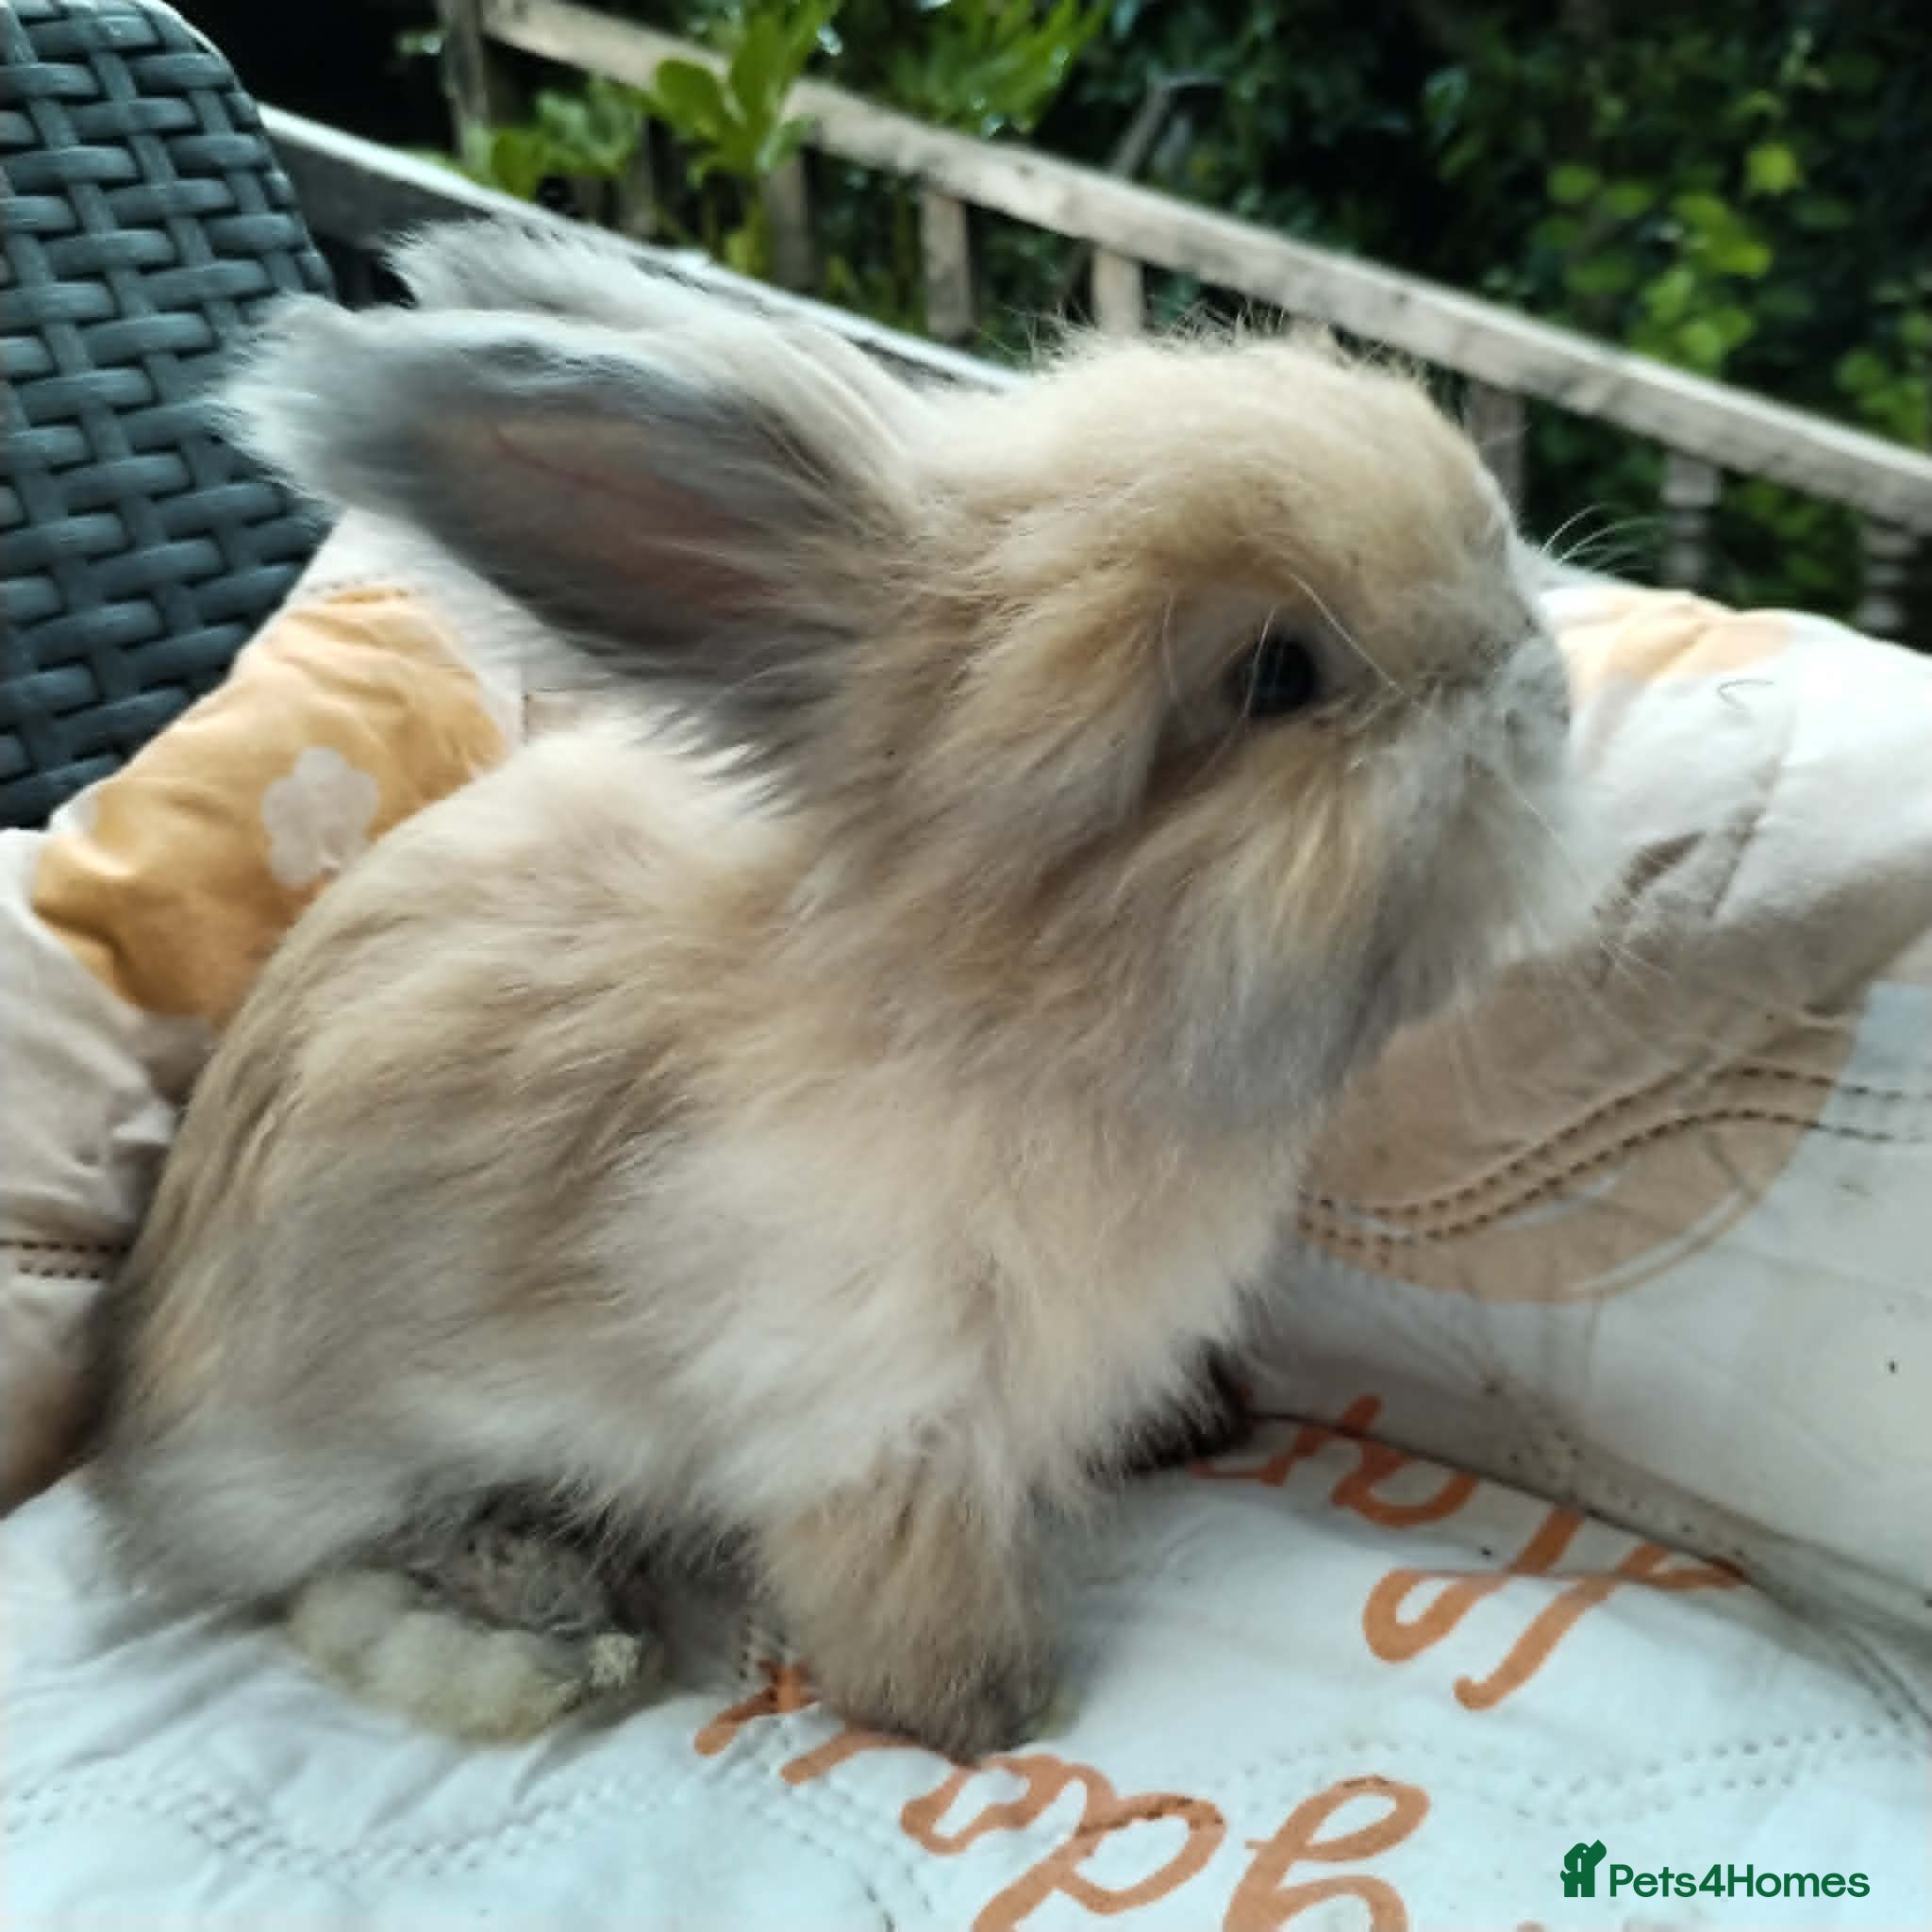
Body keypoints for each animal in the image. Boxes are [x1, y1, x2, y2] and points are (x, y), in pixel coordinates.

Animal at [90, 219, 1581, 1756]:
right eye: (1277, 673)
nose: (1539, 680)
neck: (998, 995)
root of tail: (137, 1441)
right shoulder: (871, 1401)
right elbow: (897, 1580)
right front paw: (986, 1710)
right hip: (349, 1462)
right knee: (321, 1578)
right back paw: (557, 1618)